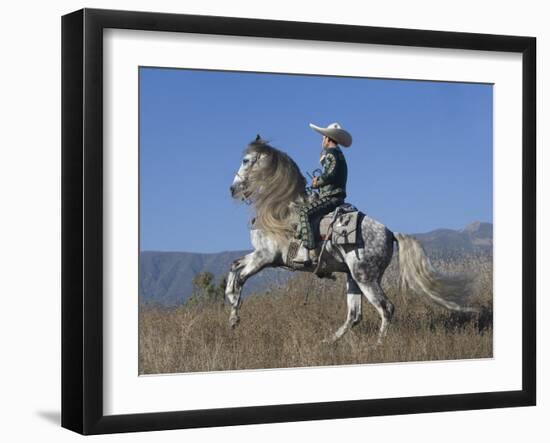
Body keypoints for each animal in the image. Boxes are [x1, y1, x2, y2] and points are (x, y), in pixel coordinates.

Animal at [226, 139, 476, 344]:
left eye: (246, 160)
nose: (232, 189)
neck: (280, 209)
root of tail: (390, 233)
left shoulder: (266, 257)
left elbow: (241, 277)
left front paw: (234, 311)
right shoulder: (259, 255)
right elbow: (234, 267)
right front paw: (232, 311)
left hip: (365, 277)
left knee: (386, 308)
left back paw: (377, 346)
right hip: (353, 278)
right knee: (355, 315)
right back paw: (327, 342)